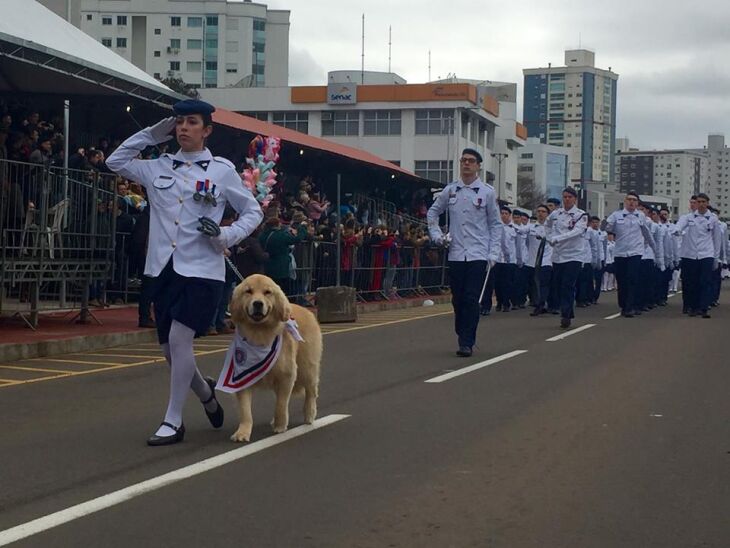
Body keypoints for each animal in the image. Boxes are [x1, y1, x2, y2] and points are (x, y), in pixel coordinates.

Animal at [226, 274, 320, 440]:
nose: (258, 303)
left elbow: (281, 404)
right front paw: (243, 432)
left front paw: (280, 426)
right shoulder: (241, 377)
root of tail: (307, 310)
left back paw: (309, 415)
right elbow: (245, 410)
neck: (259, 333)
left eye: (267, 292)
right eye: (248, 291)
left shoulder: (287, 375)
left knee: (311, 392)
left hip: (307, 368)